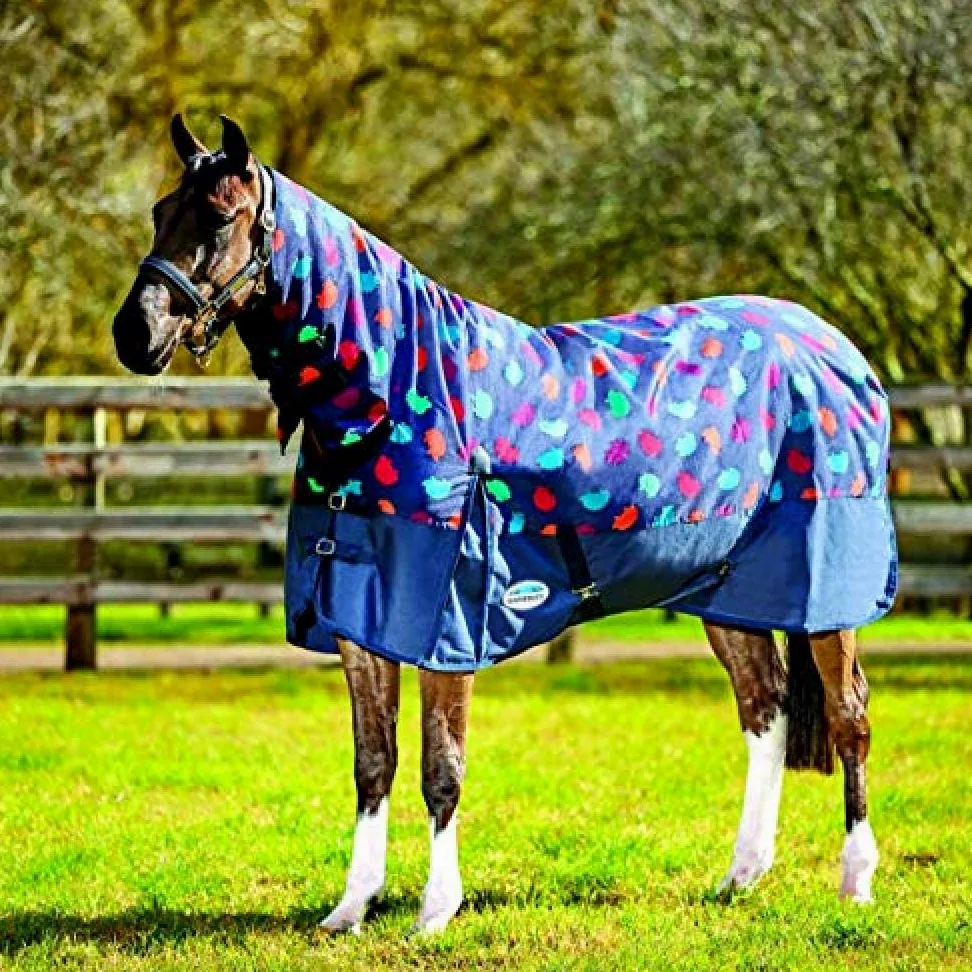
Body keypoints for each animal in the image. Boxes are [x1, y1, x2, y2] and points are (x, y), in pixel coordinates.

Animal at [112, 114, 895, 934]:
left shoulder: (444, 626)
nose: (135, 334)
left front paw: (435, 910)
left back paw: (856, 881)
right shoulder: (362, 620)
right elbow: (373, 764)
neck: (394, 394)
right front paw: (352, 907)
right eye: (160, 212)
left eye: (220, 218)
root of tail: (835, 348)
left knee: (849, 716)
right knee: (764, 709)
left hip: (827, 598)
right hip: (730, 593)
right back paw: (741, 876)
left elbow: (441, 768)